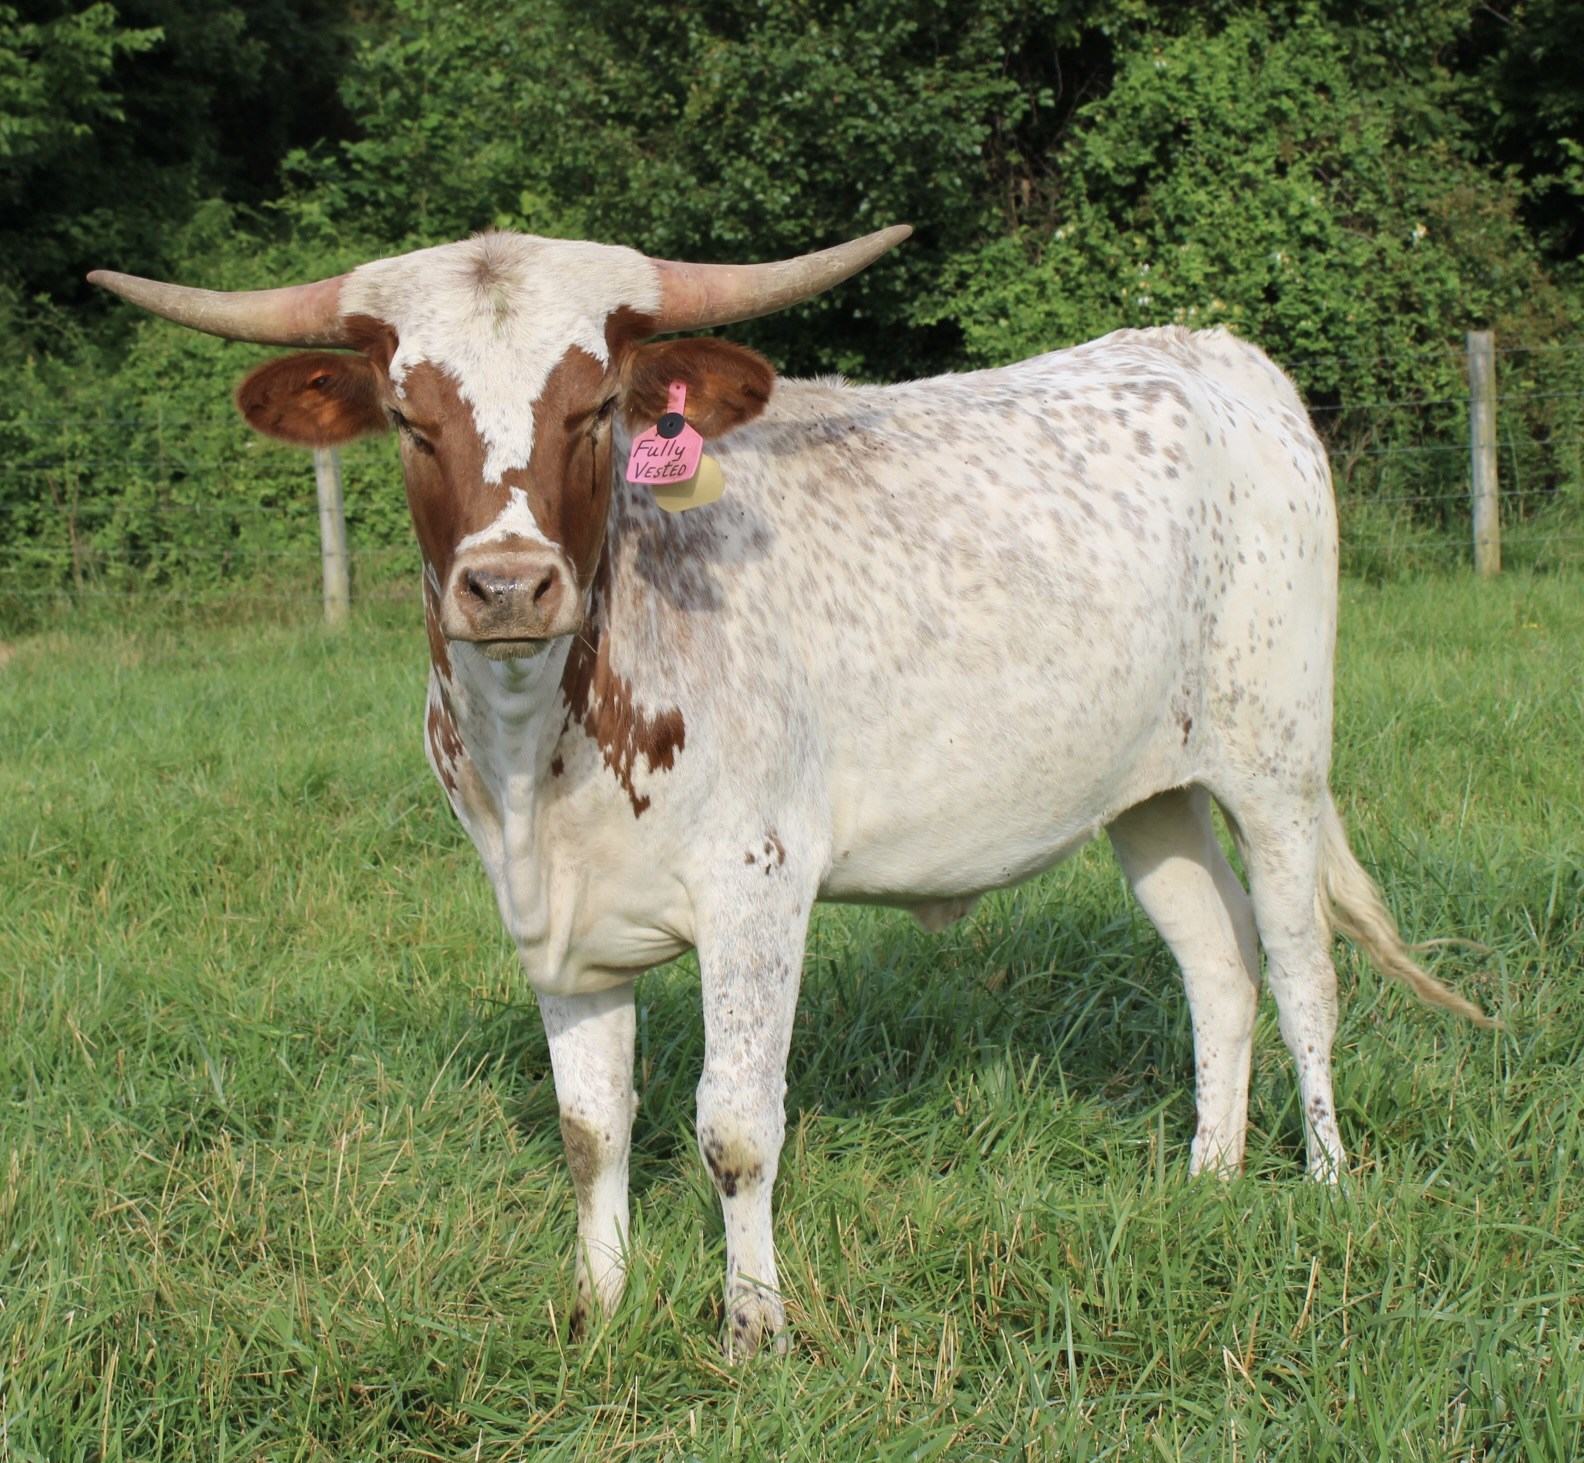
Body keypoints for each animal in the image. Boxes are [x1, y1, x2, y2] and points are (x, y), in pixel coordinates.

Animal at [90, 227, 1491, 1358]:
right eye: (410, 416)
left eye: (595, 406)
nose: (507, 585)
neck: (546, 747)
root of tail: (1220, 354)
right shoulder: (550, 922)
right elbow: (591, 1126)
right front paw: (599, 1305)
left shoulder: (758, 889)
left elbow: (735, 1125)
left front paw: (753, 1324)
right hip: (1148, 788)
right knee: (1219, 968)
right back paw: (1209, 1177)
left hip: (1277, 764)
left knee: (1304, 972)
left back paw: (1323, 1182)